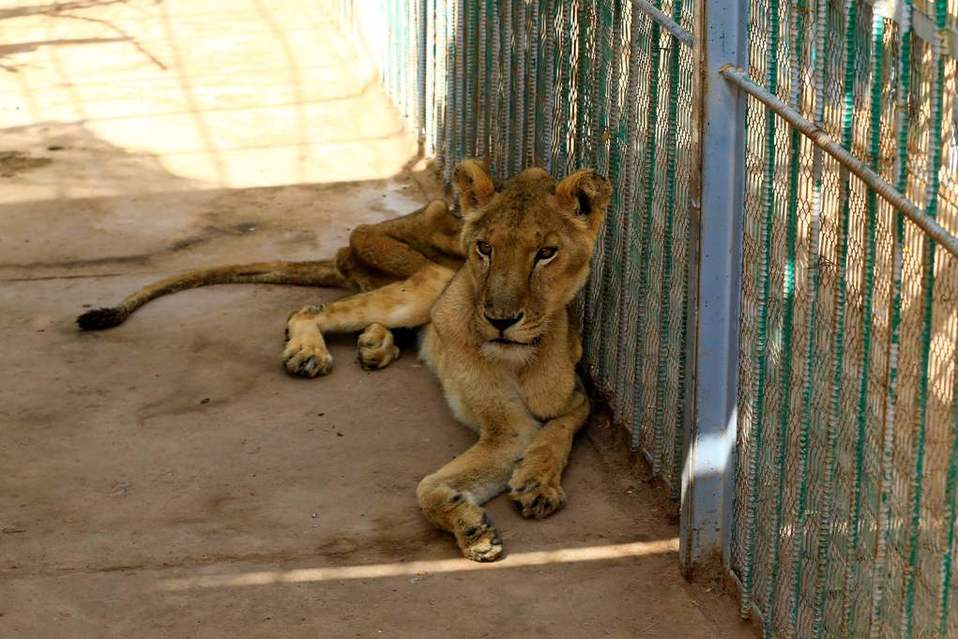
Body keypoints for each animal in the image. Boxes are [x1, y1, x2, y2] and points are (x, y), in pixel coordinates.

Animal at [79, 162, 612, 564]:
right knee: (309, 310)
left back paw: (376, 346)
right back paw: (310, 352)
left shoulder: (575, 398)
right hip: (427, 280)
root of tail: (344, 250)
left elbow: (559, 432)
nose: (501, 320)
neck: (521, 357)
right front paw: (473, 528)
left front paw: (536, 482)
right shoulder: (506, 429)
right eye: (485, 248)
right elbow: (428, 488)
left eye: (546, 253)